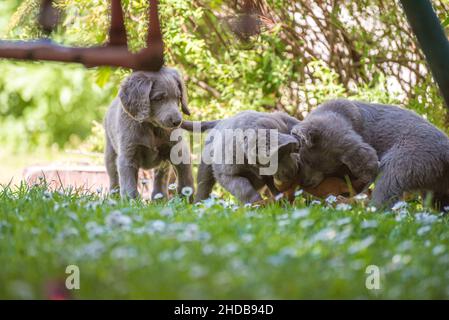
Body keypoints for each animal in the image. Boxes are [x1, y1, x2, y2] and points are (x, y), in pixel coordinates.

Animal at [104, 67, 193, 200]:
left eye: (178, 97)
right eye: (159, 98)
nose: (178, 121)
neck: (152, 127)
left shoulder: (179, 152)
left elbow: (185, 180)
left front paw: (188, 201)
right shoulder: (127, 156)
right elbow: (129, 186)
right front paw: (131, 202)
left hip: (163, 164)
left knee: (160, 178)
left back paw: (159, 198)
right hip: (110, 152)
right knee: (114, 178)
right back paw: (113, 198)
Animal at [290, 100, 449, 210]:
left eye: (326, 170)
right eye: (305, 160)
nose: (305, 182)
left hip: (405, 158)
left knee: (386, 189)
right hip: (438, 186)